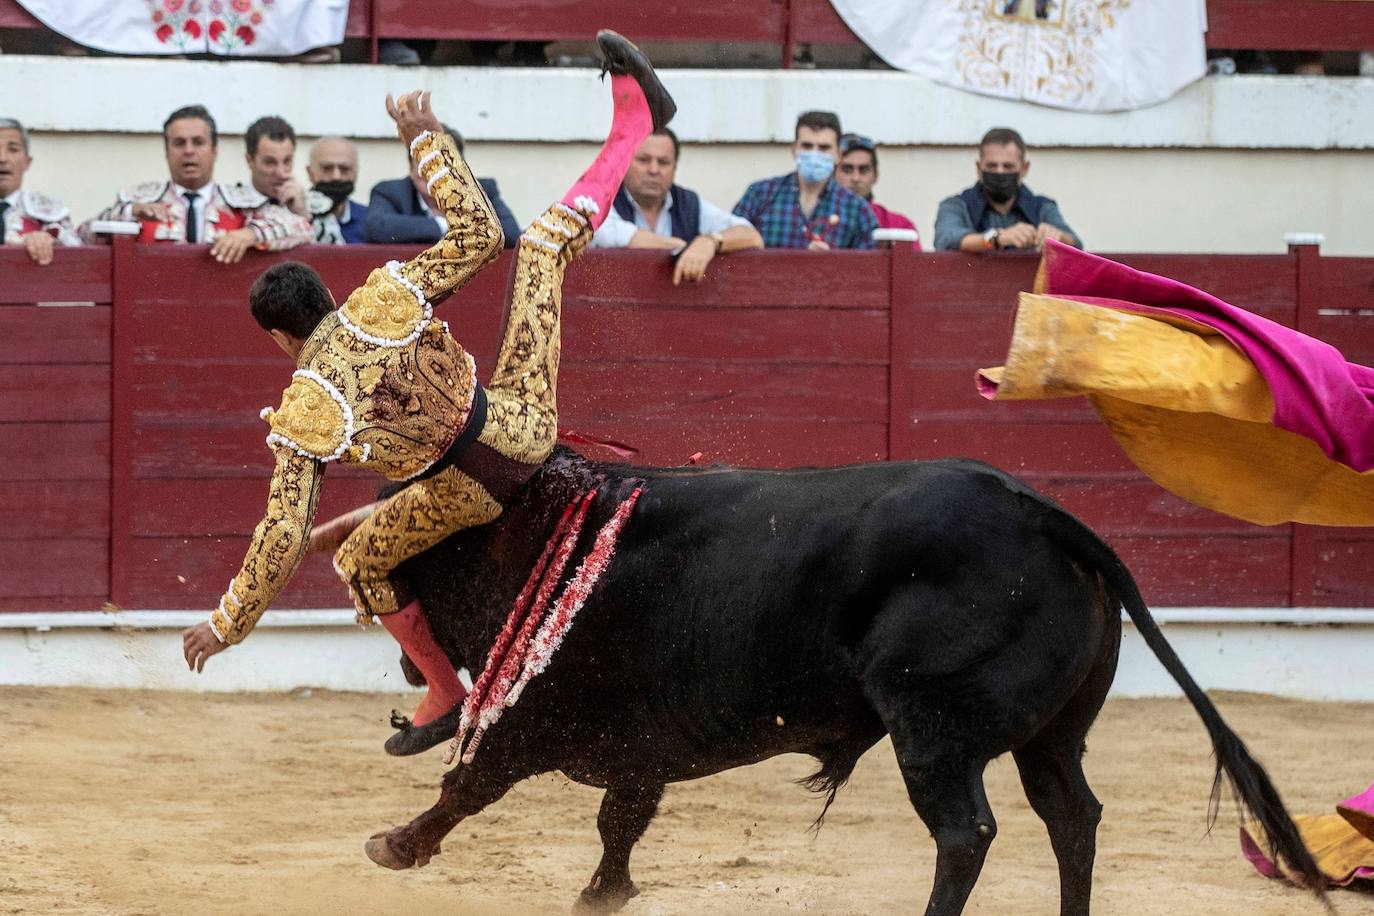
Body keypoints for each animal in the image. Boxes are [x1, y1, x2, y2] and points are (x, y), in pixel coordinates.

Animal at [362, 447, 1319, 911]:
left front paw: (395, 845)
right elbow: (620, 821)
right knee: (1071, 818)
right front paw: (603, 894)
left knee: (966, 833)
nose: (409, 668)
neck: (530, 537)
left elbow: (472, 782)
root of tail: (1039, 513)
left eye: (401, 583)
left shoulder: (540, 714)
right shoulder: (642, 745)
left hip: (932, 731)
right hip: (1053, 737)